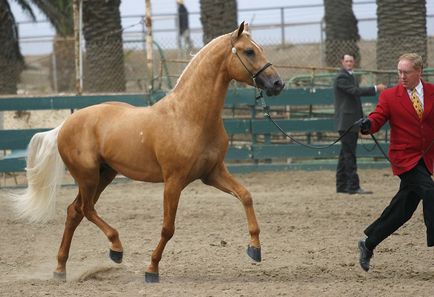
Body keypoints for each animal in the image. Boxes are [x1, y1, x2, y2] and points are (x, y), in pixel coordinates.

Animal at [11, 22, 284, 280]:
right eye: (249, 51)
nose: (277, 83)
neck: (189, 117)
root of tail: (65, 125)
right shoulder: (174, 181)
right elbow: (168, 228)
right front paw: (152, 269)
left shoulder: (212, 173)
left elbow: (246, 196)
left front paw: (255, 249)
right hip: (88, 177)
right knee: (86, 210)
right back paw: (116, 249)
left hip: (103, 175)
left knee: (74, 212)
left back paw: (60, 269)